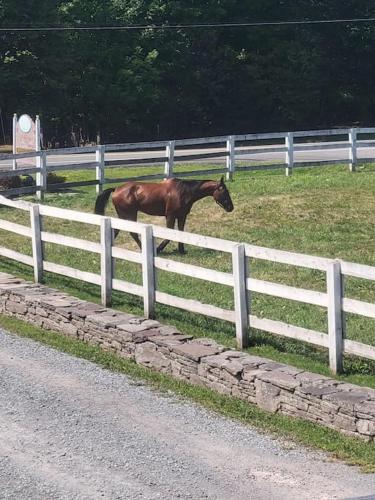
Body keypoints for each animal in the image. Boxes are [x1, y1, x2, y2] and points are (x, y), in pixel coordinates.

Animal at [94, 177, 235, 254]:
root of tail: (116, 189)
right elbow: (169, 235)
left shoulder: (182, 216)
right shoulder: (170, 216)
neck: (184, 191)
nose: (231, 207)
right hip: (129, 214)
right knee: (131, 232)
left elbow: (180, 233)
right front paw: (159, 248)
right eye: (225, 191)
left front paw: (182, 250)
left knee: (117, 230)